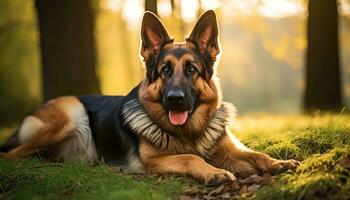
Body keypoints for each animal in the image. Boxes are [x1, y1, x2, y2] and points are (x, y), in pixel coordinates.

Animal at [0, 10, 298, 185]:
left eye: (191, 69)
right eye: (165, 70)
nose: (175, 99)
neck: (189, 133)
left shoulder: (230, 151)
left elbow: (257, 154)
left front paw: (278, 163)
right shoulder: (154, 161)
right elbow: (191, 158)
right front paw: (212, 172)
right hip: (69, 113)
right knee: (11, 155)